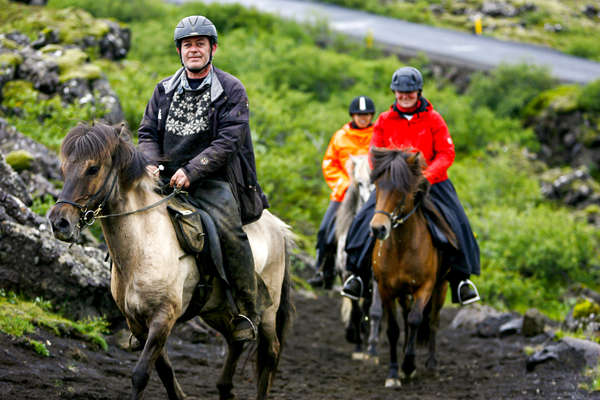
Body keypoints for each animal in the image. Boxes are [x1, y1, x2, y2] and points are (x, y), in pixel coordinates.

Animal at [48, 123, 294, 398]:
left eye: (93, 168)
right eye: (63, 168)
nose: (59, 223)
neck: (144, 244)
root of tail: (279, 228)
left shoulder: (163, 317)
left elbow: (141, 374)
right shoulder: (137, 322)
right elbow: (164, 370)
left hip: (268, 313)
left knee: (269, 353)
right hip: (218, 309)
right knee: (235, 340)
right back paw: (224, 388)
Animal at [368, 148, 458, 388]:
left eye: (401, 189)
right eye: (377, 185)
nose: (378, 229)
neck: (402, 246)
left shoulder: (425, 287)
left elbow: (417, 320)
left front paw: (409, 366)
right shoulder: (386, 290)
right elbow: (393, 329)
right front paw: (393, 373)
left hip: (441, 287)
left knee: (433, 321)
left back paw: (431, 365)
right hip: (402, 293)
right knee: (407, 319)